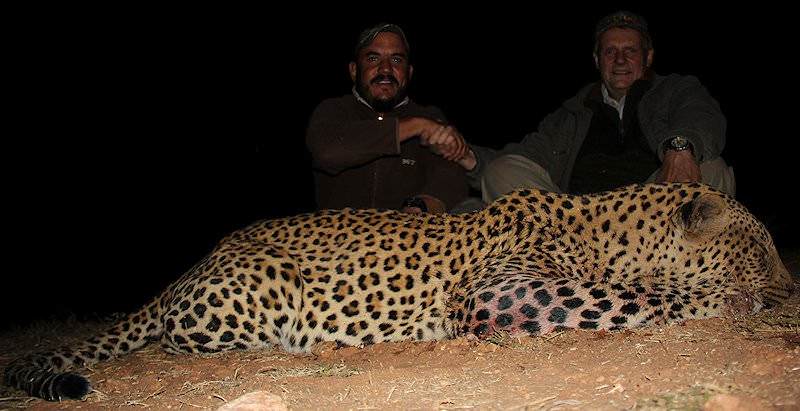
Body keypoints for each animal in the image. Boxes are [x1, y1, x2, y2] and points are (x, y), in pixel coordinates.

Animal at [4, 183, 792, 402]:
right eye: (760, 246)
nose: (791, 287)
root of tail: (185, 270)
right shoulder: (503, 292)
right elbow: (632, 299)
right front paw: (726, 303)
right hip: (263, 284)